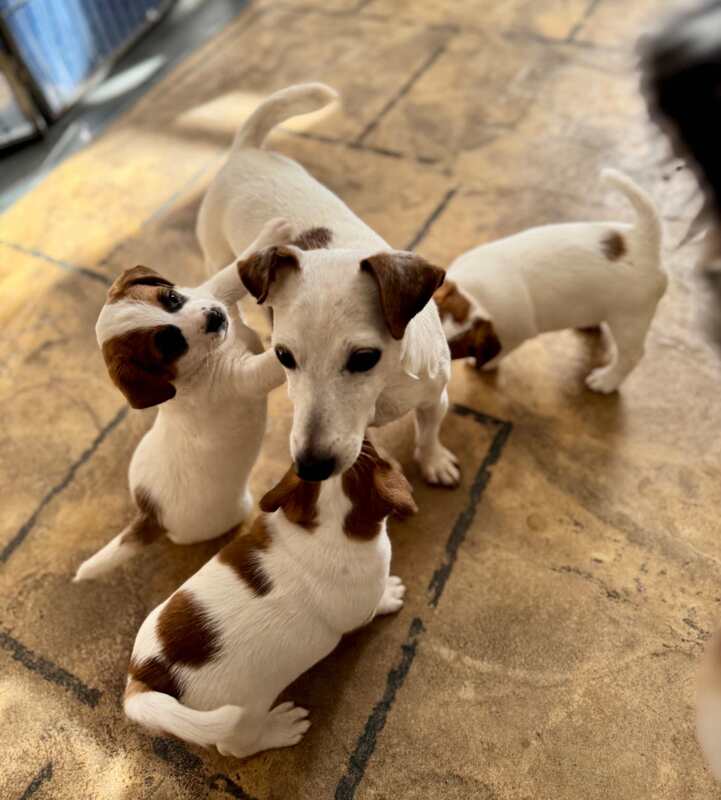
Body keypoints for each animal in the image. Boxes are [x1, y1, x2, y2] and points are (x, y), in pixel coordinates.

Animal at [74, 218, 293, 581]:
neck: (207, 355)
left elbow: (229, 275)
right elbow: (272, 362)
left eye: (172, 298)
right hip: (234, 509)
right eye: (170, 344)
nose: (217, 317)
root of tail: (151, 516)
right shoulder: (245, 379)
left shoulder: (213, 293)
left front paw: (272, 235)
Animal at [123, 438, 414, 758]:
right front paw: (391, 593)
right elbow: (376, 604)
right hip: (243, 719)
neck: (326, 526)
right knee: (237, 747)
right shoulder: (364, 603)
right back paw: (280, 728)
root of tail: (146, 676)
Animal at [197, 83, 460, 487]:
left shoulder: (434, 396)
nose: (309, 468)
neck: (387, 388)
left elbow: (429, 432)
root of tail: (244, 150)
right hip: (217, 252)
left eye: (364, 358)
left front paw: (434, 461)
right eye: (284, 357)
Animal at [433, 169, 666, 393]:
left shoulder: (513, 336)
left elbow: (497, 354)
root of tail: (641, 241)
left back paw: (607, 380)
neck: (475, 295)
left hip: (629, 320)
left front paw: (482, 365)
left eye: (450, 353)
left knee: (632, 355)